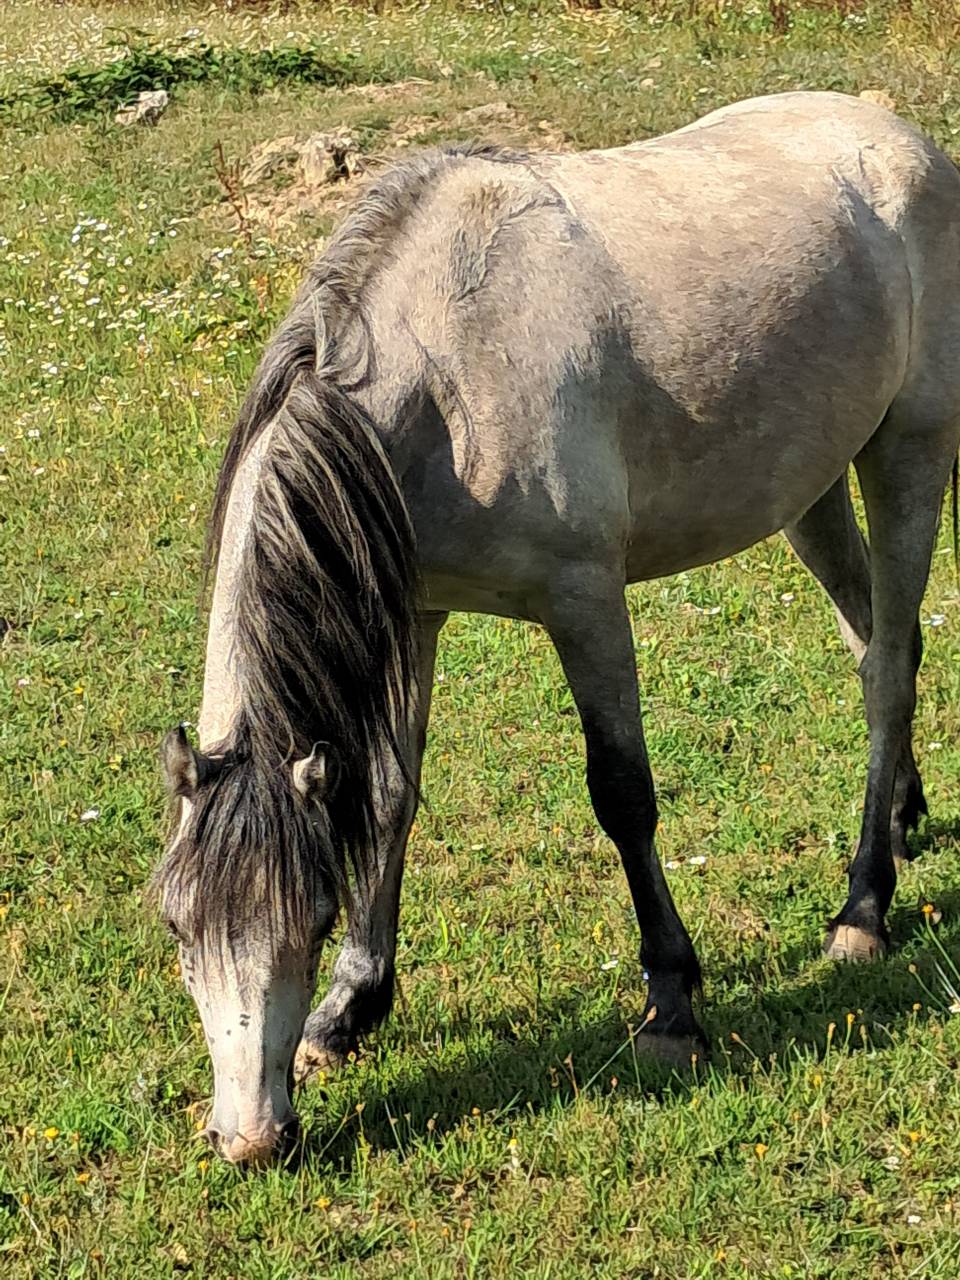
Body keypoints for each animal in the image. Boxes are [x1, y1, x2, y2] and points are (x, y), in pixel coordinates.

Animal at [155, 92, 960, 1166]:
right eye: (177, 927)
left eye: (311, 916)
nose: (251, 1139)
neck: (446, 373)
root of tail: (904, 141)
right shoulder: (418, 610)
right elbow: (388, 797)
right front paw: (351, 1010)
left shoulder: (585, 603)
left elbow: (623, 795)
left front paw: (672, 1004)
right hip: (812, 486)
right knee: (874, 636)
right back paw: (905, 817)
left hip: (909, 452)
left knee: (890, 669)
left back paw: (863, 907)